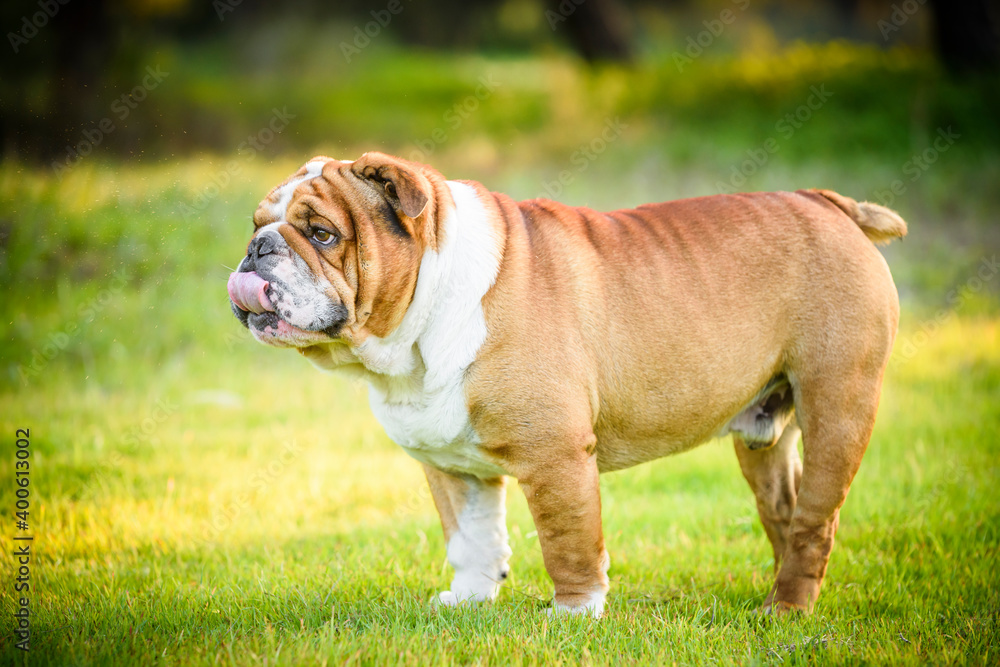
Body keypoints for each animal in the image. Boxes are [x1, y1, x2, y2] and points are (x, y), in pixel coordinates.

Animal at [229, 151, 908, 616]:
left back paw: (787, 608)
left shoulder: (554, 457)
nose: (257, 249)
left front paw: (574, 613)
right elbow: (471, 538)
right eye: (258, 224)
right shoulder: (450, 464)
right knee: (782, 511)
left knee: (816, 518)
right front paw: (468, 602)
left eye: (322, 234)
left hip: (837, 407)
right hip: (763, 437)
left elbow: (568, 539)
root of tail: (829, 204)